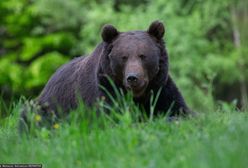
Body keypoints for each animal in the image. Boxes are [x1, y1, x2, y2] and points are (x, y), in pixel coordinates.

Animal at [36, 20, 190, 118]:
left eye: (143, 56)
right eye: (124, 57)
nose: (133, 78)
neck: (138, 96)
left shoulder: (160, 89)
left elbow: (179, 110)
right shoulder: (105, 89)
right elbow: (111, 115)